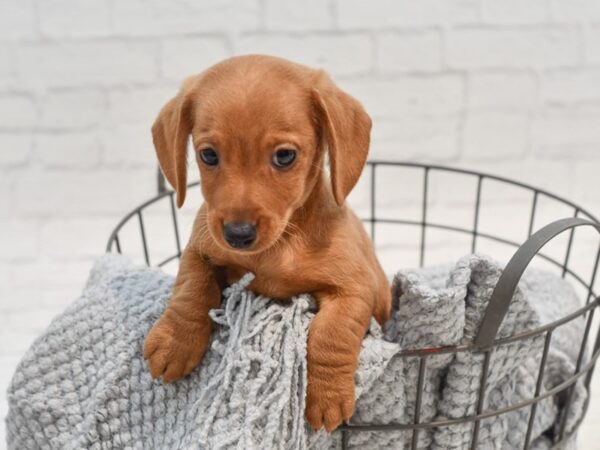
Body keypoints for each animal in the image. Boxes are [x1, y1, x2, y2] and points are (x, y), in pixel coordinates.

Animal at [143, 56, 392, 432]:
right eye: (208, 155)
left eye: (285, 156)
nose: (238, 234)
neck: (277, 247)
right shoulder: (199, 248)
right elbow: (191, 288)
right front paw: (175, 341)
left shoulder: (357, 287)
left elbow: (331, 334)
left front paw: (327, 394)